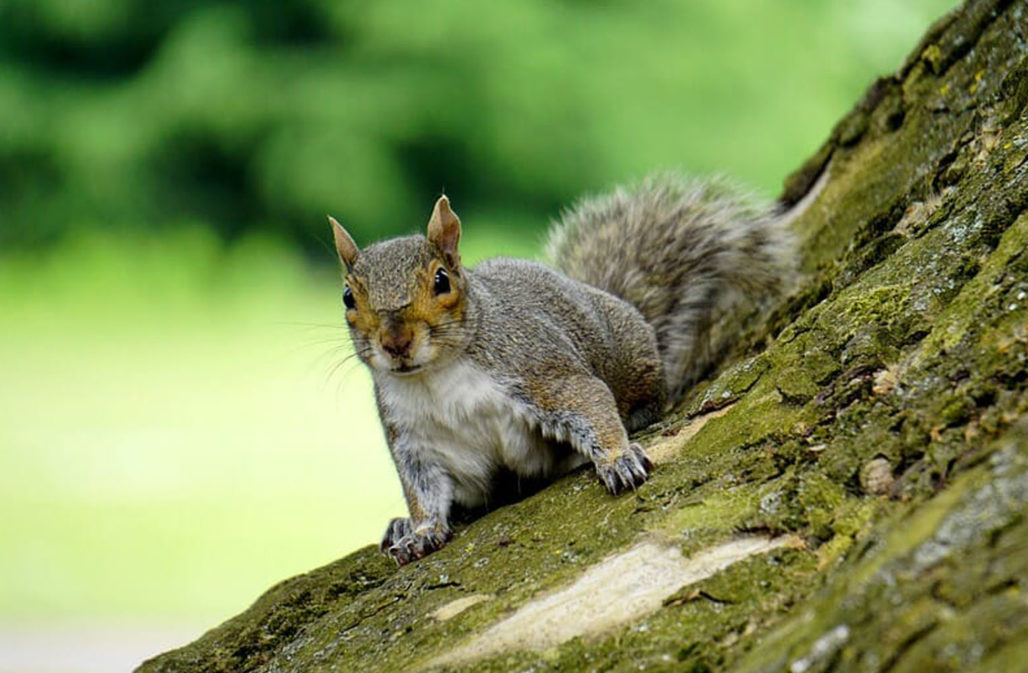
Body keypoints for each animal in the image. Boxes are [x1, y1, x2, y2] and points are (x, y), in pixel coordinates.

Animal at [328, 172, 793, 563]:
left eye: (442, 280)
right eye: (348, 297)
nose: (395, 342)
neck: (436, 377)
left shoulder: (537, 369)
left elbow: (589, 400)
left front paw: (618, 459)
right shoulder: (414, 438)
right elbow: (422, 489)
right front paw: (421, 530)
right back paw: (400, 524)